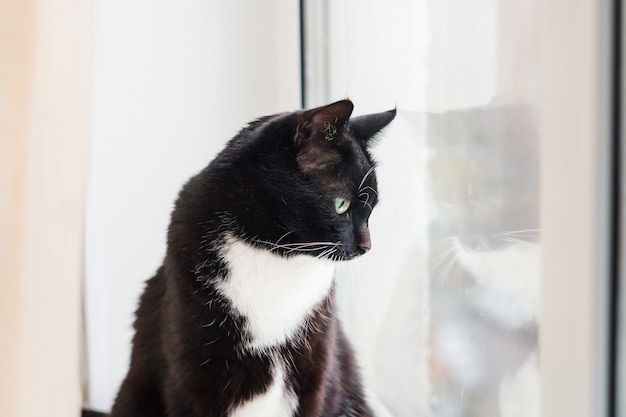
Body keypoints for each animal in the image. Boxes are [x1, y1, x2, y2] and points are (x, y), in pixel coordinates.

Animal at [106, 100, 390, 416]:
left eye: (371, 209)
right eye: (342, 205)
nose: (367, 246)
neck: (274, 256)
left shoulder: (317, 362)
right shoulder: (193, 375)